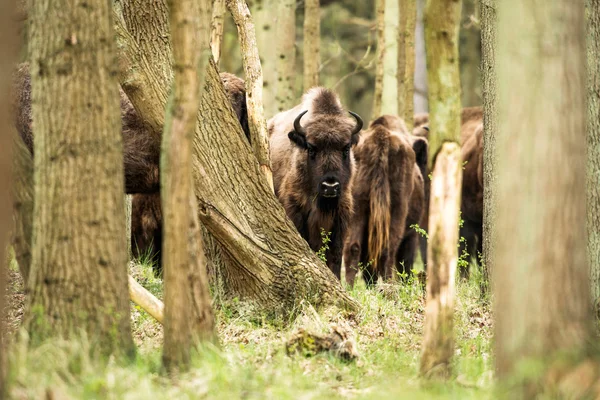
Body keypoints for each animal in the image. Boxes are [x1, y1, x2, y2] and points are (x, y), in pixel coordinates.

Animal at [270, 89, 364, 280]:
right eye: (311, 148)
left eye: (346, 148)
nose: (330, 186)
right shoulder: (295, 209)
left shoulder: (341, 216)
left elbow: (335, 254)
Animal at [342, 114, 426, 286]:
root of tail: (381, 137)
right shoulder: (411, 235)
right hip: (397, 211)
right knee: (388, 250)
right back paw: (389, 284)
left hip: (356, 207)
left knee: (353, 247)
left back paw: (349, 287)